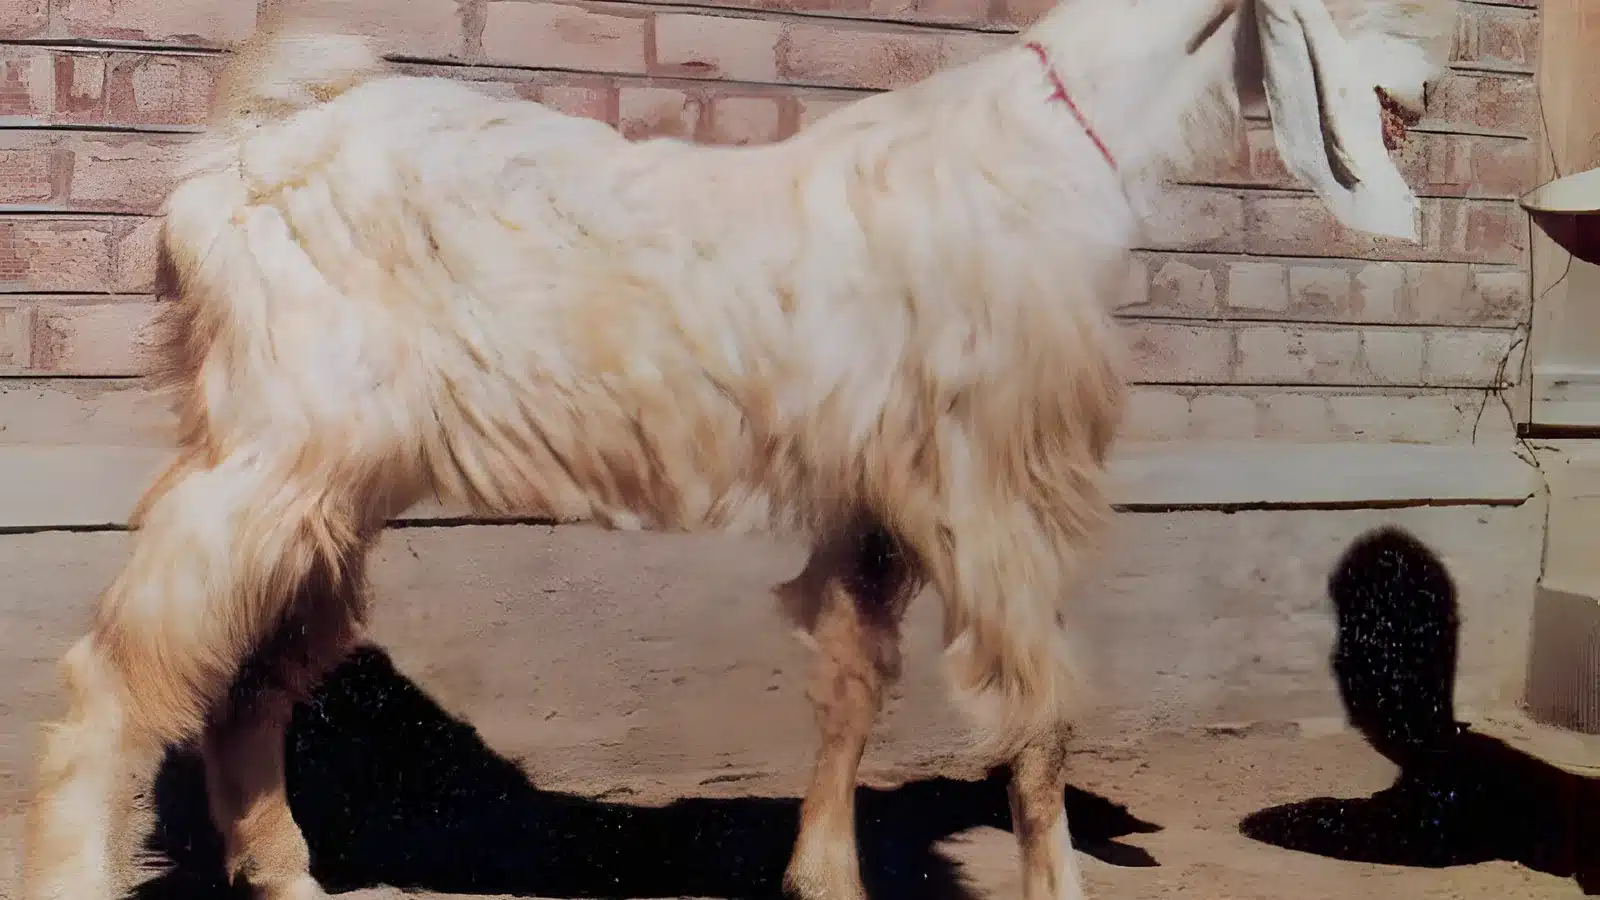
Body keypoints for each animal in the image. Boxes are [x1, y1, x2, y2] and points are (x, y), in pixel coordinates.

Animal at [21, 0, 1452, 897]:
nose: (1432, 90)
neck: (1044, 154)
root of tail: (244, 142)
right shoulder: (989, 483)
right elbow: (1039, 722)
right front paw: (1056, 885)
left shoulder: (879, 496)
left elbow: (851, 687)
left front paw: (821, 875)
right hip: (273, 448)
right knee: (117, 673)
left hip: (323, 482)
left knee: (244, 683)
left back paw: (289, 872)